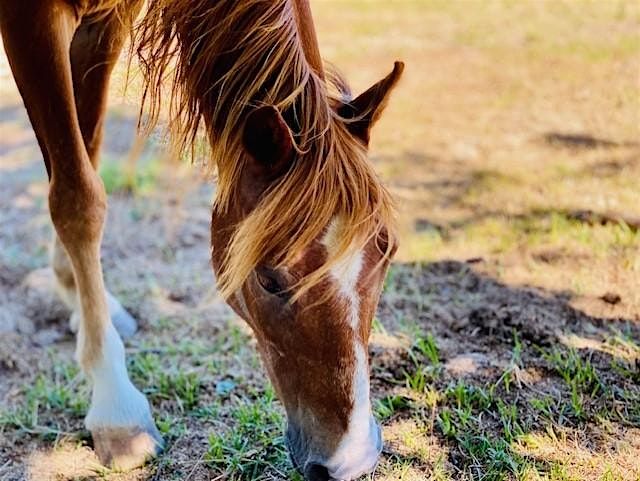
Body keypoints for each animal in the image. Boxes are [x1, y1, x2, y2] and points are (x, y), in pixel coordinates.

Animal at [0, 0, 402, 478]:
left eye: (388, 254)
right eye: (269, 280)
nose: (351, 458)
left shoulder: (107, 24)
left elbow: (87, 150)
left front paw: (73, 293)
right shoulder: (31, 18)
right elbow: (77, 197)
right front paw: (117, 409)